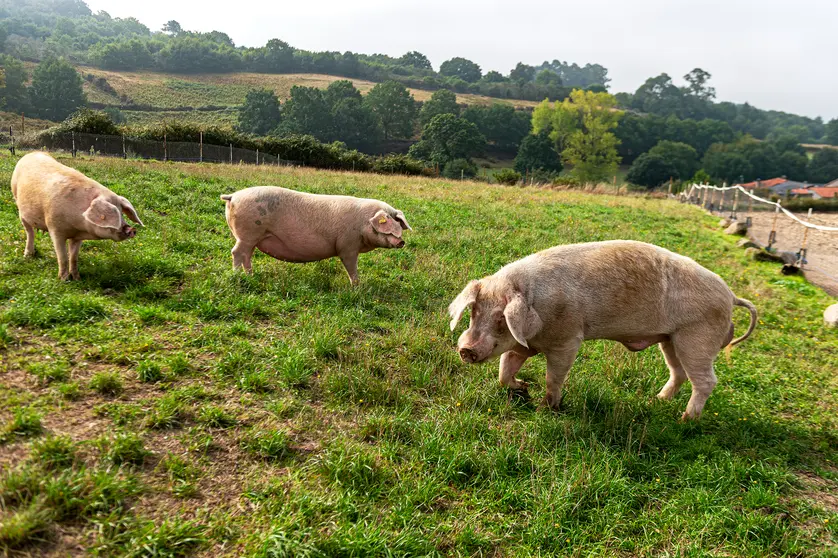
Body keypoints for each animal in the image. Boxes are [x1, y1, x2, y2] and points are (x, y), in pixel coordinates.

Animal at [9, 153, 144, 282]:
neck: (77, 226)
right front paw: (64, 280)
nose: (132, 229)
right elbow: (63, 257)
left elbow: (73, 257)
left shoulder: (77, 237)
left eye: (122, 212)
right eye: (115, 214)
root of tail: (30, 154)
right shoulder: (54, 229)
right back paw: (28, 255)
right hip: (18, 203)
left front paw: (77, 278)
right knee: (29, 232)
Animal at [218, 187, 412, 286]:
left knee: (247, 255)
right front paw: (357, 287)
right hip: (248, 233)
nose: (401, 241)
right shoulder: (347, 246)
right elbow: (351, 266)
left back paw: (250, 276)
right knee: (237, 252)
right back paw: (238, 277)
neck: (363, 223)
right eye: (389, 228)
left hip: (252, 237)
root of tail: (233, 196)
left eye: (399, 225)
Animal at [452, 240, 760, 420]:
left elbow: (554, 377)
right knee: (679, 372)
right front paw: (523, 387)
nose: (466, 350)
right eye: (474, 312)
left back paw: (685, 419)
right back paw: (657, 401)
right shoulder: (524, 344)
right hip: (670, 339)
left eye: (501, 319)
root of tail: (732, 296)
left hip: (697, 338)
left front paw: (546, 407)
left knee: (706, 381)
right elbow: (505, 370)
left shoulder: (568, 338)